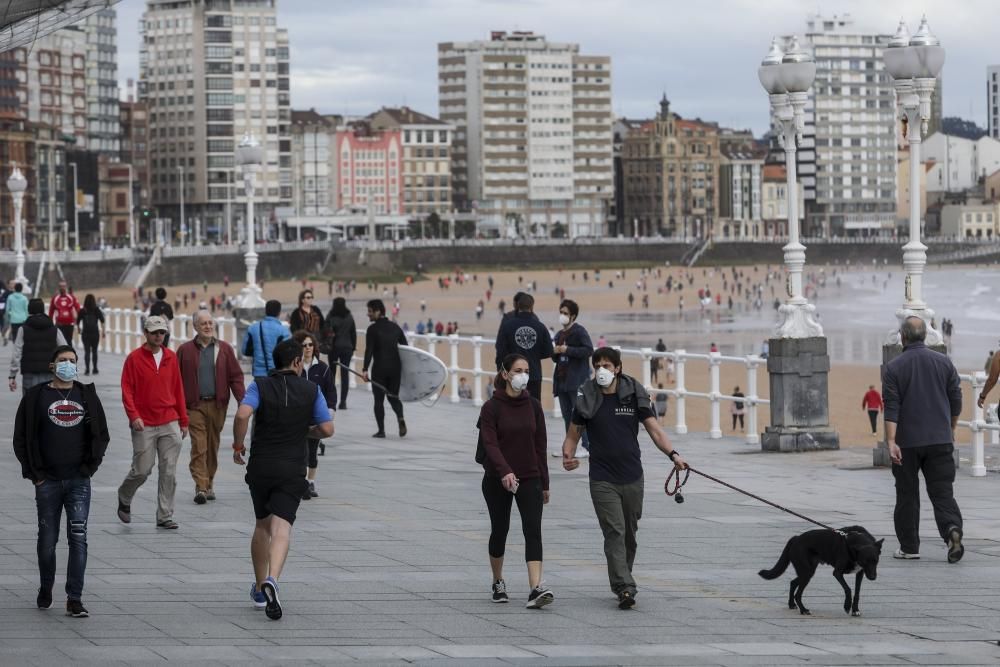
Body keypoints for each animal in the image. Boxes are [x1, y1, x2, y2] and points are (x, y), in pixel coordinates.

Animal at [756, 528, 884, 616]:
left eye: (876, 561)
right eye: (864, 561)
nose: (873, 577)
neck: (853, 548)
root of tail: (796, 538)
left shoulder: (860, 573)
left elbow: (857, 592)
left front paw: (855, 610)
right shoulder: (837, 573)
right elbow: (848, 589)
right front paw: (847, 606)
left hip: (808, 571)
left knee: (793, 582)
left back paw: (791, 604)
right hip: (806, 572)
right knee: (798, 593)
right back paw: (803, 610)